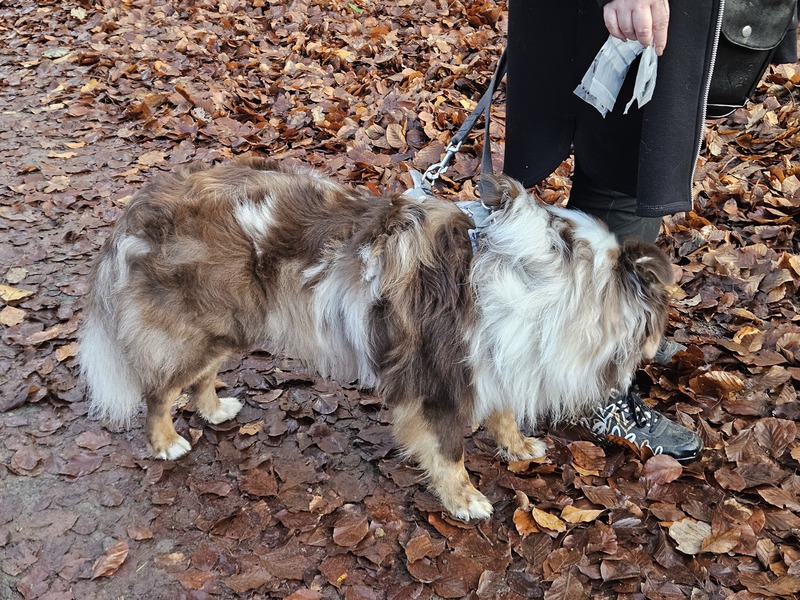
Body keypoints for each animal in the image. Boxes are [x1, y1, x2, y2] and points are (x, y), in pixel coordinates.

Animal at [79, 156, 672, 520]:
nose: (667, 351)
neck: (548, 282)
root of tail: (141, 205)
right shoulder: (441, 378)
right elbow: (450, 451)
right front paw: (465, 499)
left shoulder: (493, 357)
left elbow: (502, 411)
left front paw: (518, 445)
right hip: (193, 330)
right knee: (158, 391)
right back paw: (165, 442)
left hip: (227, 325)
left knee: (199, 377)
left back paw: (214, 409)